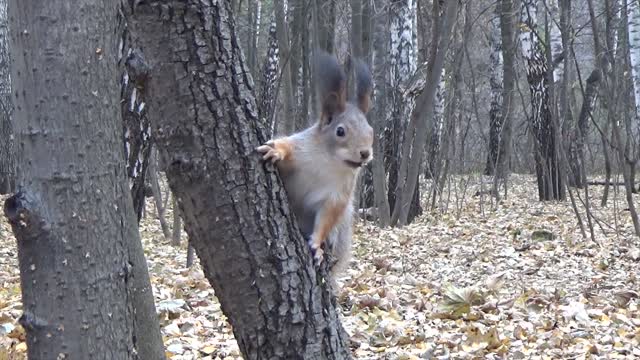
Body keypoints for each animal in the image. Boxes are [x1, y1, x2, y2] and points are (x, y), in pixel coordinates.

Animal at [256, 52, 372, 278]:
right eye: (340, 131)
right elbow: (287, 148)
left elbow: (327, 218)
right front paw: (276, 150)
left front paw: (317, 245)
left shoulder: (338, 195)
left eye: (371, 130)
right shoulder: (301, 148)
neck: (329, 161)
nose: (365, 153)